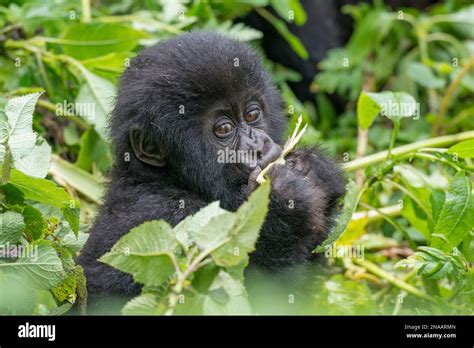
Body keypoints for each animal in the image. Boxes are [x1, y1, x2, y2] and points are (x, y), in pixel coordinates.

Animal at [78, 31, 344, 300]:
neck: (164, 179)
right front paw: (285, 199)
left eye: (252, 115)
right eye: (224, 129)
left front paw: (314, 167)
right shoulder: (165, 217)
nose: (258, 147)